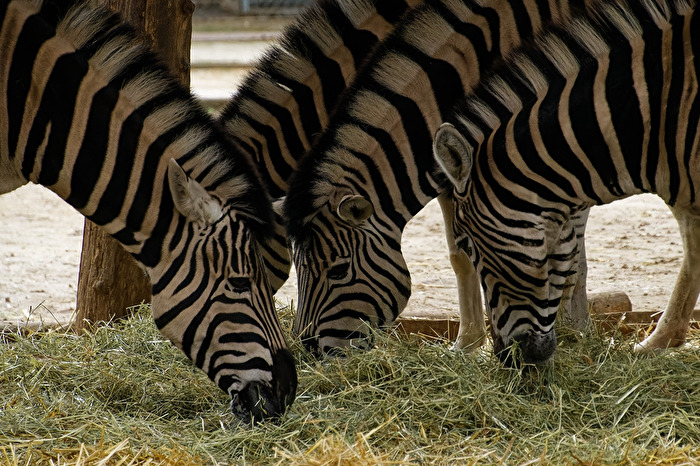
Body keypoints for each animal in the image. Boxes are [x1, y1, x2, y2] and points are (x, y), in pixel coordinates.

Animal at [283, 0, 596, 355]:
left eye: (338, 271)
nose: (306, 350)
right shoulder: (457, 172)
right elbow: (464, 254)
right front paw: (470, 343)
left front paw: (573, 329)